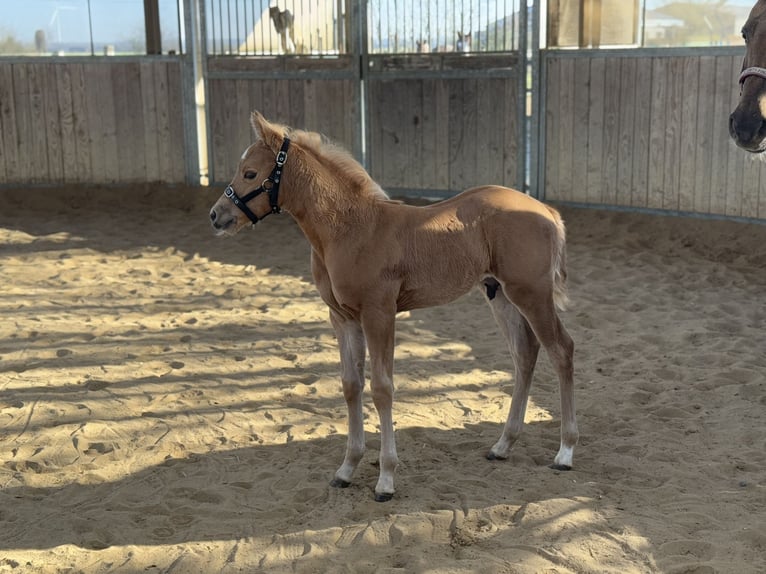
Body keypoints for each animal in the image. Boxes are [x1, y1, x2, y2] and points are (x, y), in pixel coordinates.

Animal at [209, 112, 578, 502]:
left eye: (250, 173)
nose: (216, 215)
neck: (350, 230)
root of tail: (547, 210)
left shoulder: (379, 314)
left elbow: (382, 389)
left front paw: (385, 479)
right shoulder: (343, 318)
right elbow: (350, 386)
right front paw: (346, 469)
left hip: (532, 294)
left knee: (561, 350)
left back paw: (565, 452)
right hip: (501, 296)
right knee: (526, 354)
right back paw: (503, 445)